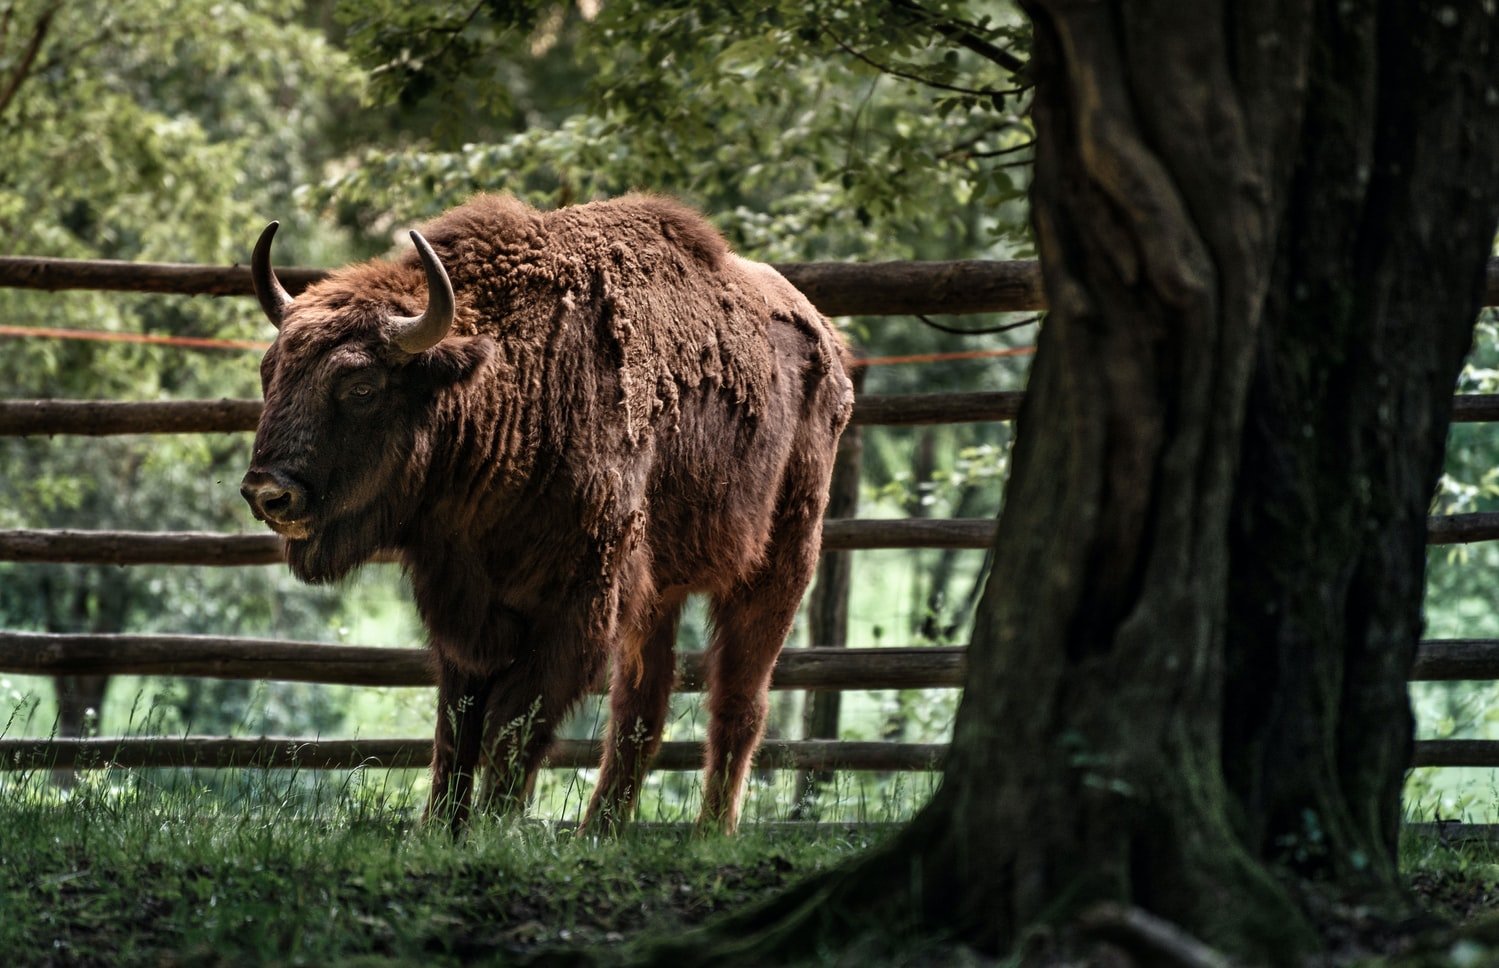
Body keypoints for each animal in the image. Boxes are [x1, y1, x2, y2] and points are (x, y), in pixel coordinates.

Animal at [245, 194, 857, 833]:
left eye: (362, 386)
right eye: (271, 371)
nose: (268, 492)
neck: (512, 383)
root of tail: (830, 347)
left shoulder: (575, 612)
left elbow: (512, 729)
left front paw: (490, 830)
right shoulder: (466, 612)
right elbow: (456, 729)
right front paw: (441, 830)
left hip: (779, 568)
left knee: (738, 702)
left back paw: (709, 835)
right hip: (658, 595)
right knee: (643, 708)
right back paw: (598, 833)